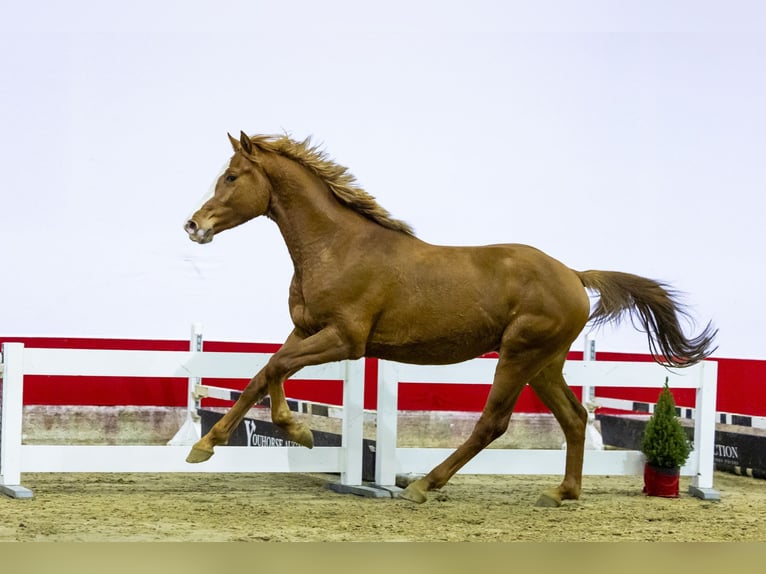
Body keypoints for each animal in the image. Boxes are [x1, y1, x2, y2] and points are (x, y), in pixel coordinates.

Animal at [186, 132, 720, 508]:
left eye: (232, 176)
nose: (194, 225)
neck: (336, 247)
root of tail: (572, 274)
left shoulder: (345, 339)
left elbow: (276, 369)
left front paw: (295, 431)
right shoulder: (305, 330)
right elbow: (262, 373)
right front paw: (207, 445)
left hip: (518, 355)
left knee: (493, 423)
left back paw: (424, 484)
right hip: (545, 362)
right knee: (575, 416)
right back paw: (562, 493)